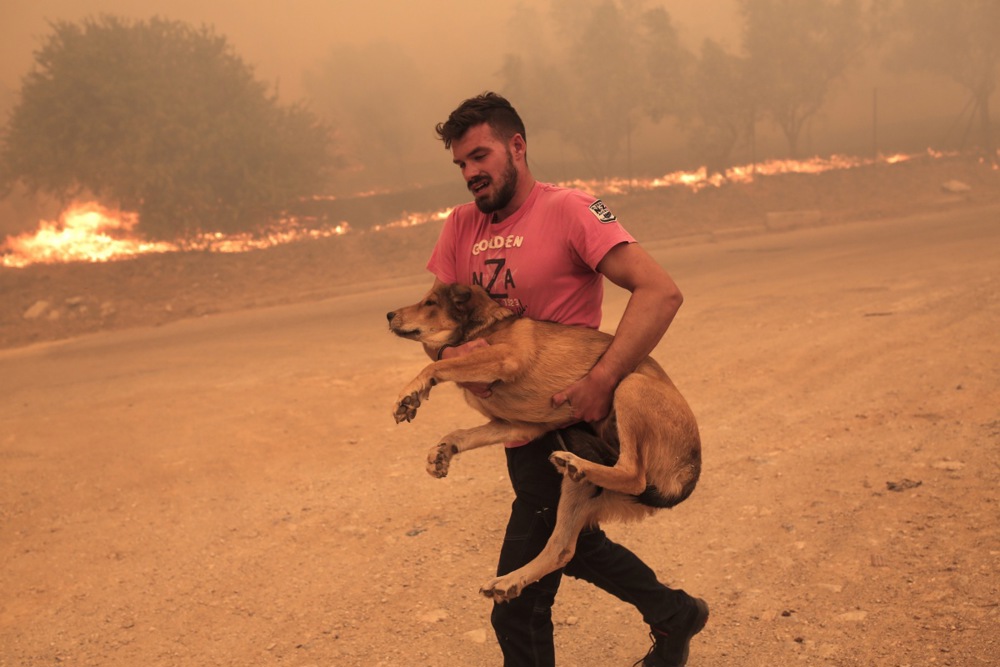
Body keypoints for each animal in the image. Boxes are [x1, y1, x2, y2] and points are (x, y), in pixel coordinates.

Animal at [386, 284, 700, 604]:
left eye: (430, 303)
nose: (388, 314)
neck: (487, 325)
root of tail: (689, 471)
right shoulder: (518, 425)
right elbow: (462, 433)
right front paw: (441, 451)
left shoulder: (505, 357)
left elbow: (440, 363)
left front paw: (410, 393)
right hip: (577, 489)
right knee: (561, 549)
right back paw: (510, 580)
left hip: (630, 387)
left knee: (634, 475)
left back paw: (576, 463)